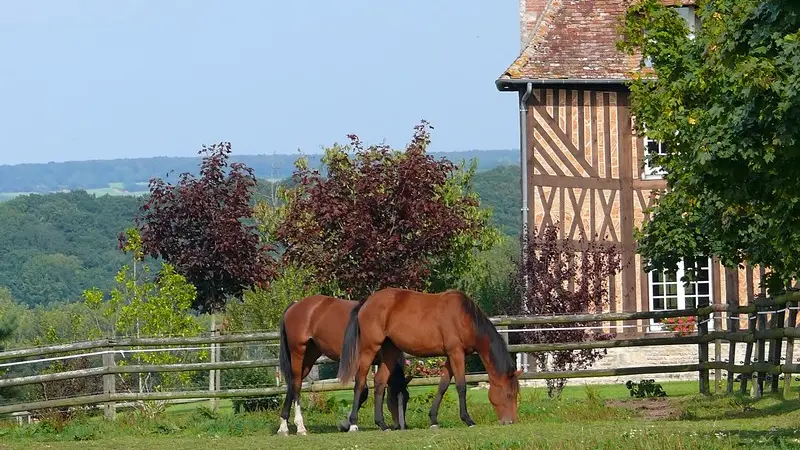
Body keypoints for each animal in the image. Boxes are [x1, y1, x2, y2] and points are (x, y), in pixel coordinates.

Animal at [276, 294, 413, 436]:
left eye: (407, 398)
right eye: (393, 399)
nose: (401, 426)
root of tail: (295, 305)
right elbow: (363, 391)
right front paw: (348, 424)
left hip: (310, 356)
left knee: (292, 384)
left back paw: (283, 427)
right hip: (298, 352)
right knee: (296, 385)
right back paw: (300, 427)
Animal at [336, 287, 522, 432]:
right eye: (508, 394)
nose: (511, 421)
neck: (465, 317)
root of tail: (367, 301)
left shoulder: (450, 356)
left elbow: (443, 386)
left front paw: (433, 420)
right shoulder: (456, 353)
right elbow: (461, 386)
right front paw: (467, 419)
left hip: (390, 351)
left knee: (380, 382)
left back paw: (382, 424)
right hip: (369, 348)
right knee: (360, 381)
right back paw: (353, 423)